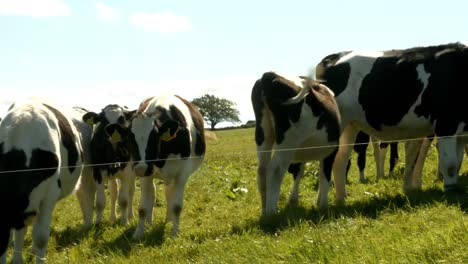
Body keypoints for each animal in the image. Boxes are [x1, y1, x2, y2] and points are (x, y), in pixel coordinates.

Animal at [105, 94, 206, 239]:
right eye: (130, 139)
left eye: (154, 137)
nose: (141, 168)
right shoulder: (145, 174)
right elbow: (142, 207)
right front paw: (138, 233)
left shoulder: (182, 174)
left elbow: (177, 205)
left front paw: (174, 233)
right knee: (153, 195)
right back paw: (149, 221)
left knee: (169, 194)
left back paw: (168, 220)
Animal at [250, 71, 342, 216]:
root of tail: (269, 75)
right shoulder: (331, 150)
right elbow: (325, 175)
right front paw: (323, 205)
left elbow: (300, 171)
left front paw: (294, 200)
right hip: (288, 142)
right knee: (274, 170)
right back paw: (271, 212)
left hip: (263, 135)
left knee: (261, 170)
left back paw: (264, 211)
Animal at [288, 42, 468, 206]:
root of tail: (333, 58)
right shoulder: (446, 124)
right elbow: (450, 164)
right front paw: (449, 193)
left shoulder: (461, 133)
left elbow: (457, 163)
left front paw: (453, 189)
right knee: (323, 160)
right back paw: (321, 203)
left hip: (350, 125)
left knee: (340, 159)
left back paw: (341, 199)